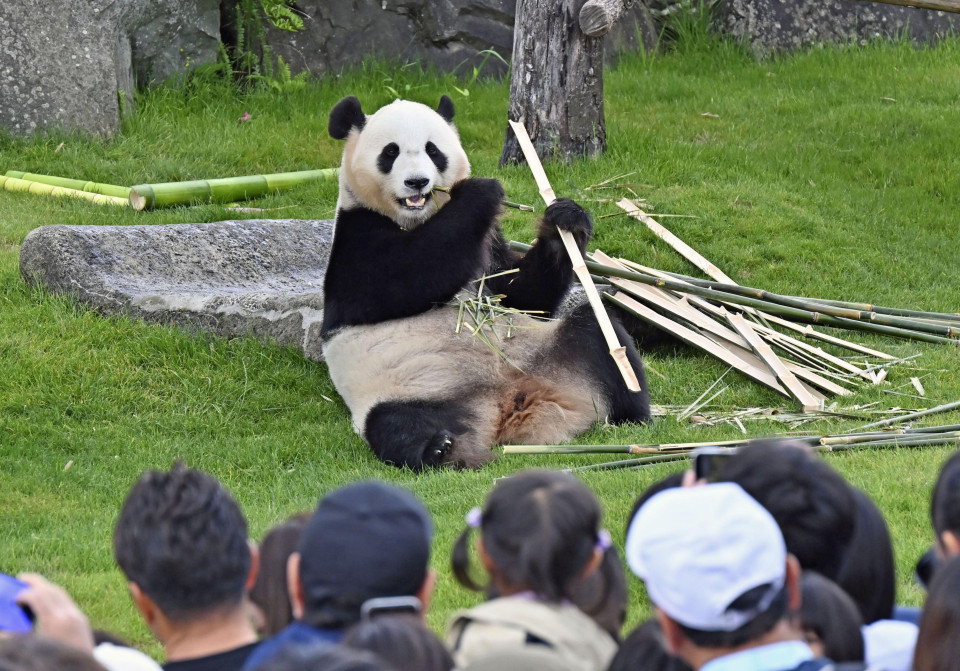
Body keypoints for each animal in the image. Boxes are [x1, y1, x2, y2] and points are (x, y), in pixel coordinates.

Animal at [321, 94, 651, 470]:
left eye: (433, 150)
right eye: (390, 152)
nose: (418, 182)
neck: (416, 217)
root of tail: (510, 402)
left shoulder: (491, 244)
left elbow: (523, 298)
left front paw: (565, 221)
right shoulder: (356, 236)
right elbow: (400, 280)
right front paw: (480, 193)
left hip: (553, 352)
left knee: (598, 333)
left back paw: (633, 419)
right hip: (407, 388)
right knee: (396, 423)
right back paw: (440, 449)